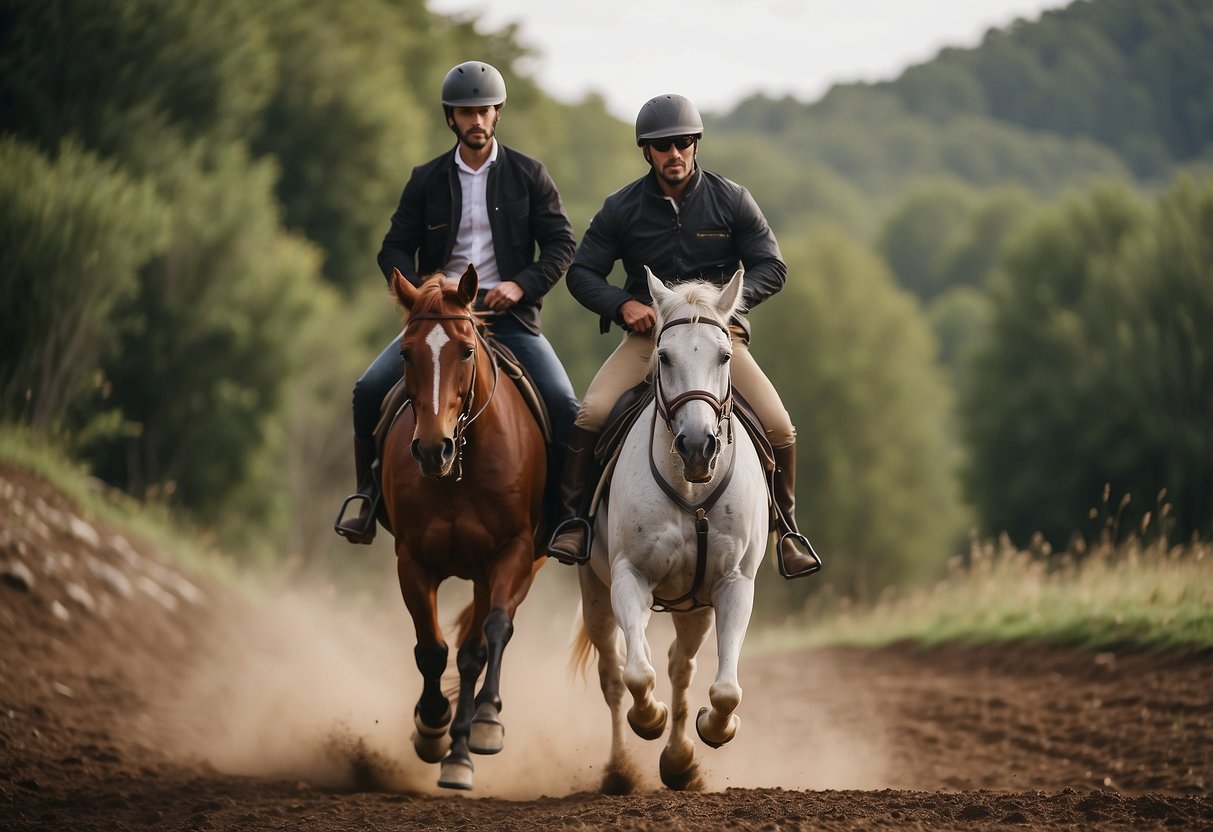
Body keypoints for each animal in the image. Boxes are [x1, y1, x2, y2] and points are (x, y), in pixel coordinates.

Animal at [383, 264, 545, 790]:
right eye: (406, 353)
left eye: (467, 350)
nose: (433, 449)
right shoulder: (412, 559)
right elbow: (431, 649)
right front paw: (431, 724)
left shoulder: (512, 553)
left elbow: (491, 634)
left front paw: (487, 722)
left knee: (477, 648)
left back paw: (464, 748)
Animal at [570, 269, 761, 795]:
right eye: (664, 356)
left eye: (725, 356)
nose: (698, 446)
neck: (690, 487)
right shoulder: (628, 577)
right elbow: (637, 674)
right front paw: (649, 719)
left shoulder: (733, 583)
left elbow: (727, 688)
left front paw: (715, 729)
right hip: (595, 592)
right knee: (614, 674)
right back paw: (621, 770)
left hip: (694, 607)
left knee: (681, 667)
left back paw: (679, 762)